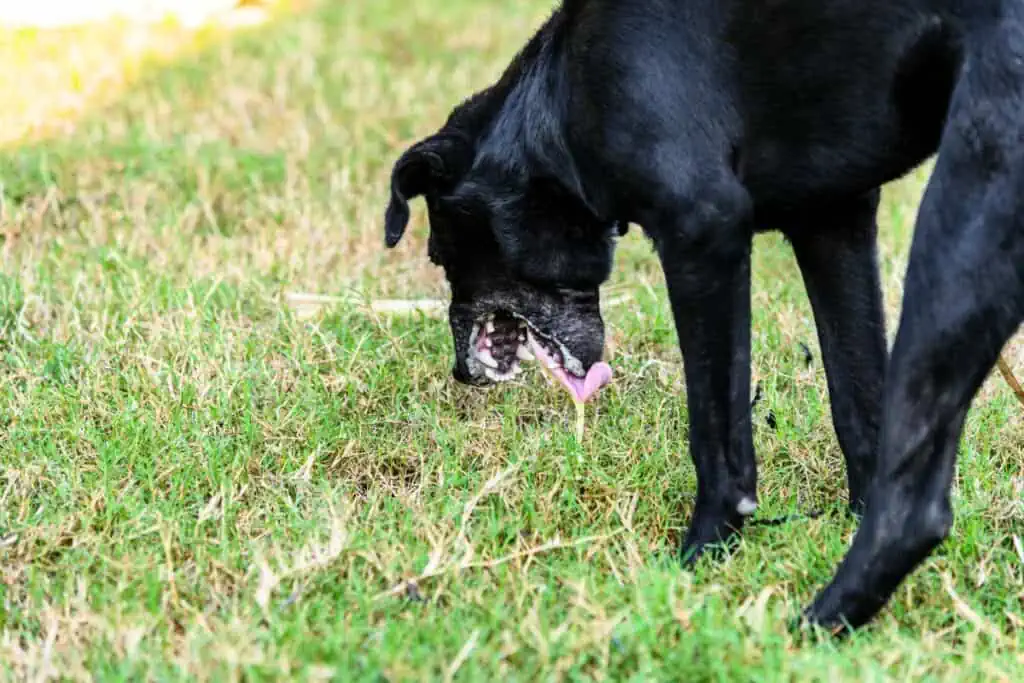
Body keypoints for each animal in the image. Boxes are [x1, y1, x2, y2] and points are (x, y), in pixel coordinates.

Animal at [382, 0, 1024, 634]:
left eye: (440, 255)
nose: (460, 373)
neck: (557, 100)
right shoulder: (833, 221)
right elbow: (859, 407)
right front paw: (845, 518)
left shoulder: (704, 232)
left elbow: (717, 433)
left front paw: (701, 557)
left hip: (962, 215)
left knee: (915, 508)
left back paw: (813, 624)